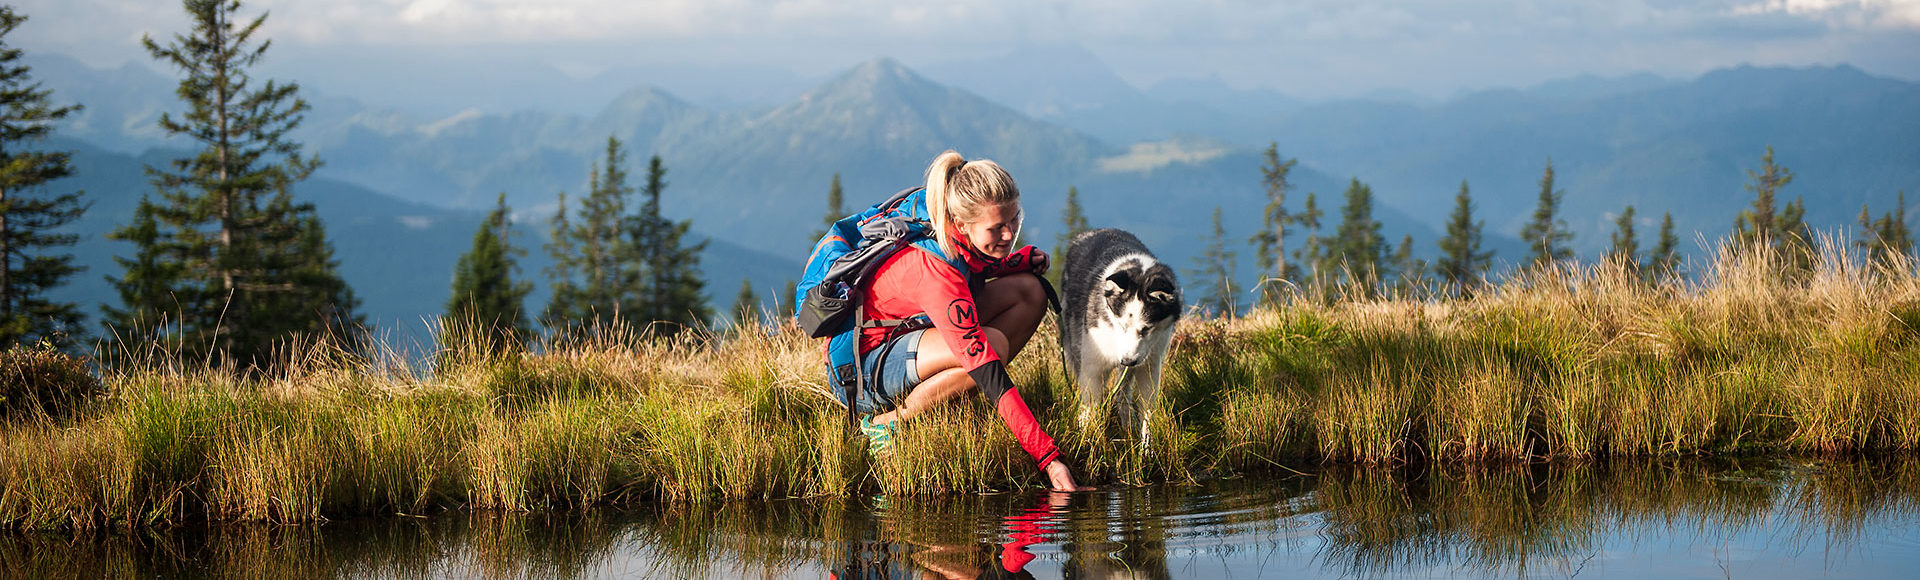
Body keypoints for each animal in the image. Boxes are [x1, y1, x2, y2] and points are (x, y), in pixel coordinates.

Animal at [1059, 228, 1175, 441]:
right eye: (1121, 325)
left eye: (1146, 329)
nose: (1127, 360)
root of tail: (1092, 231)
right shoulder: (1092, 368)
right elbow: (1090, 409)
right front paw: (1087, 441)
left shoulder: (1149, 366)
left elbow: (1147, 411)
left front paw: (1146, 445)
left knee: (1122, 394)